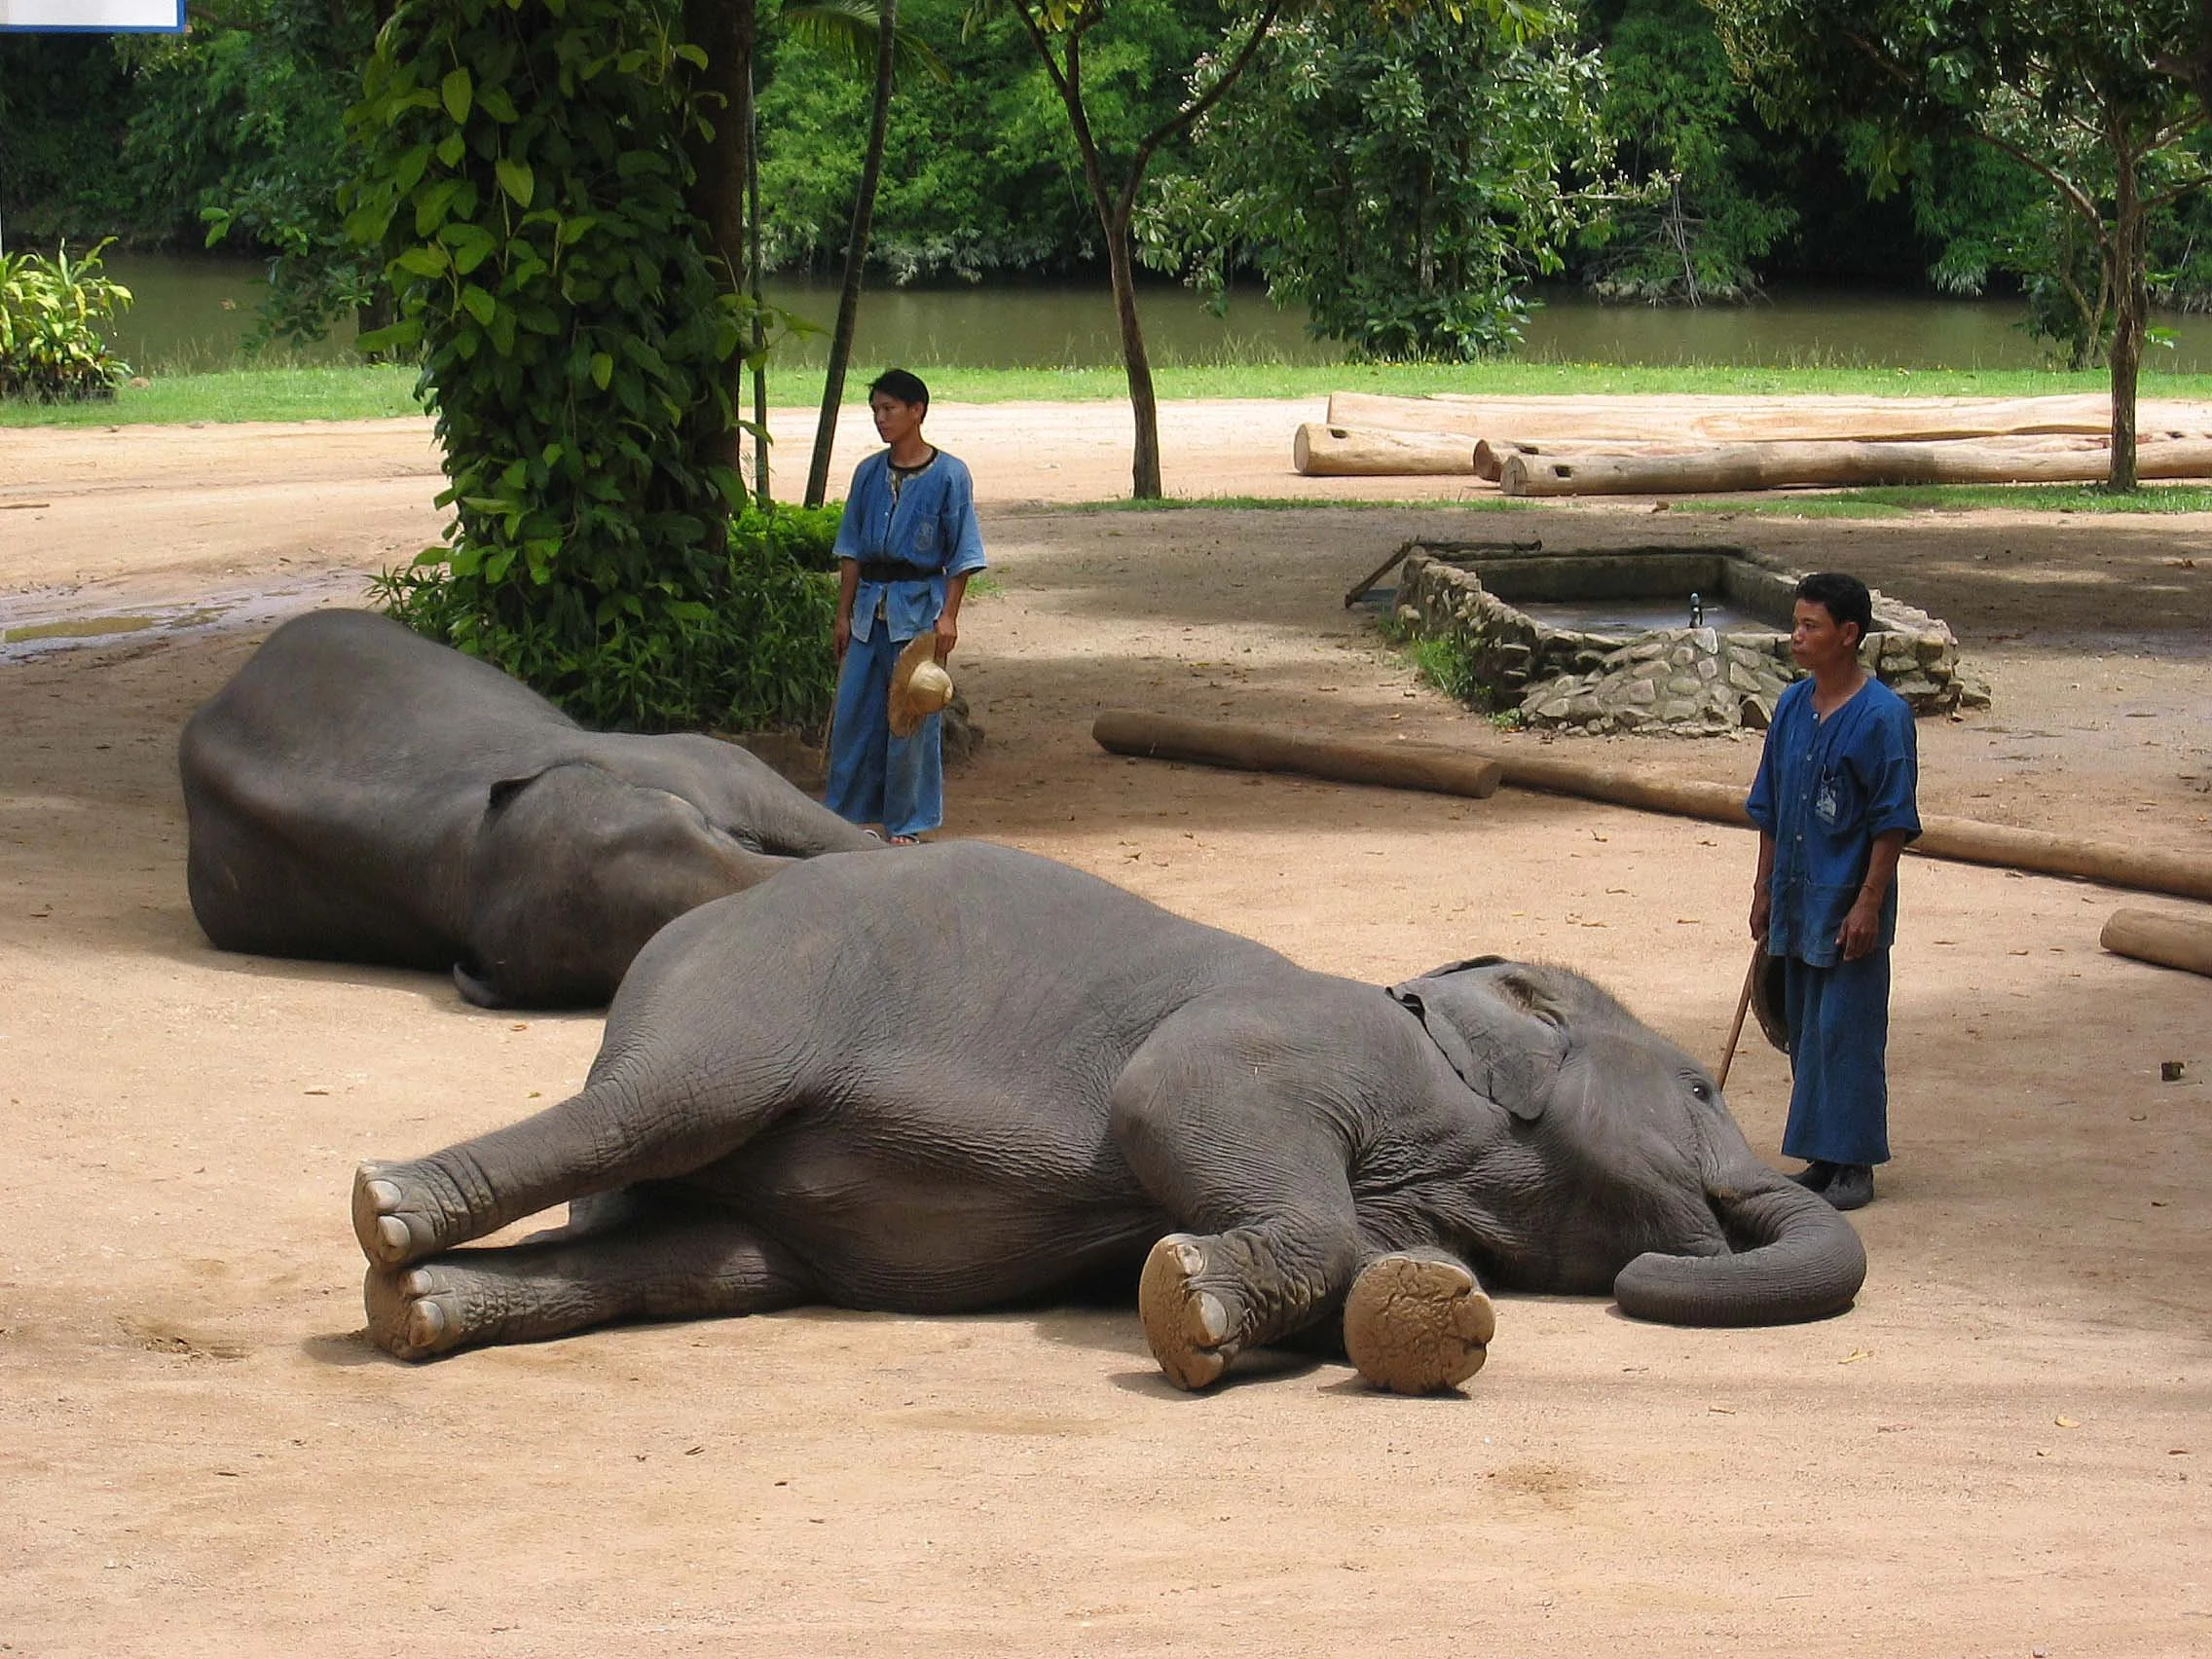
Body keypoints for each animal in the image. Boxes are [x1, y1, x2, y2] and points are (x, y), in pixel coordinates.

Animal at [351, 841, 1867, 1391]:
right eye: (1702, 1089)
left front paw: (1420, 1316)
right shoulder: (1299, 1037)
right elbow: (1175, 1095)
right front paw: (1185, 1305)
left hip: (744, 1205)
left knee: (688, 1260)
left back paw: (420, 1312)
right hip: (753, 996)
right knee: (657, 1111)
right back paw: (386, 1213)